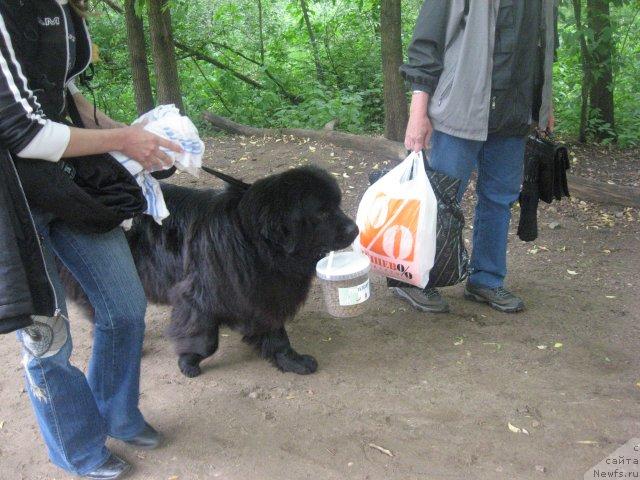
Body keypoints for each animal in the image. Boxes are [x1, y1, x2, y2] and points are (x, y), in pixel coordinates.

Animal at [120, 167, 358, 376]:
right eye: (322, 212)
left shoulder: (263, 294)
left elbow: (276, 334)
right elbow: (206, 340)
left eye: (337, 205)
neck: (254, 241)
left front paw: (291, 360)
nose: (355, 230)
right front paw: (189, 361)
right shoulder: (196, 297)